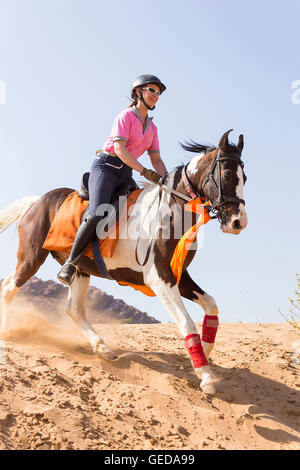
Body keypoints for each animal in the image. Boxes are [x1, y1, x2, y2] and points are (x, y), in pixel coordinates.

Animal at [0, 129, 246, 392]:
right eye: (227, 174)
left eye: (245, 177)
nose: (238, 222)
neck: (170, 212)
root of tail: (36, 202)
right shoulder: (159, 279)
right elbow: (186, 323)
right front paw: (206, 375)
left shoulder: (178, 276)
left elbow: (211, 305)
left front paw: (204, 355)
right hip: (31, 257)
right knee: (9, 287)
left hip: (80, 268)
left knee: (74, 308)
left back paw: (102, 347)